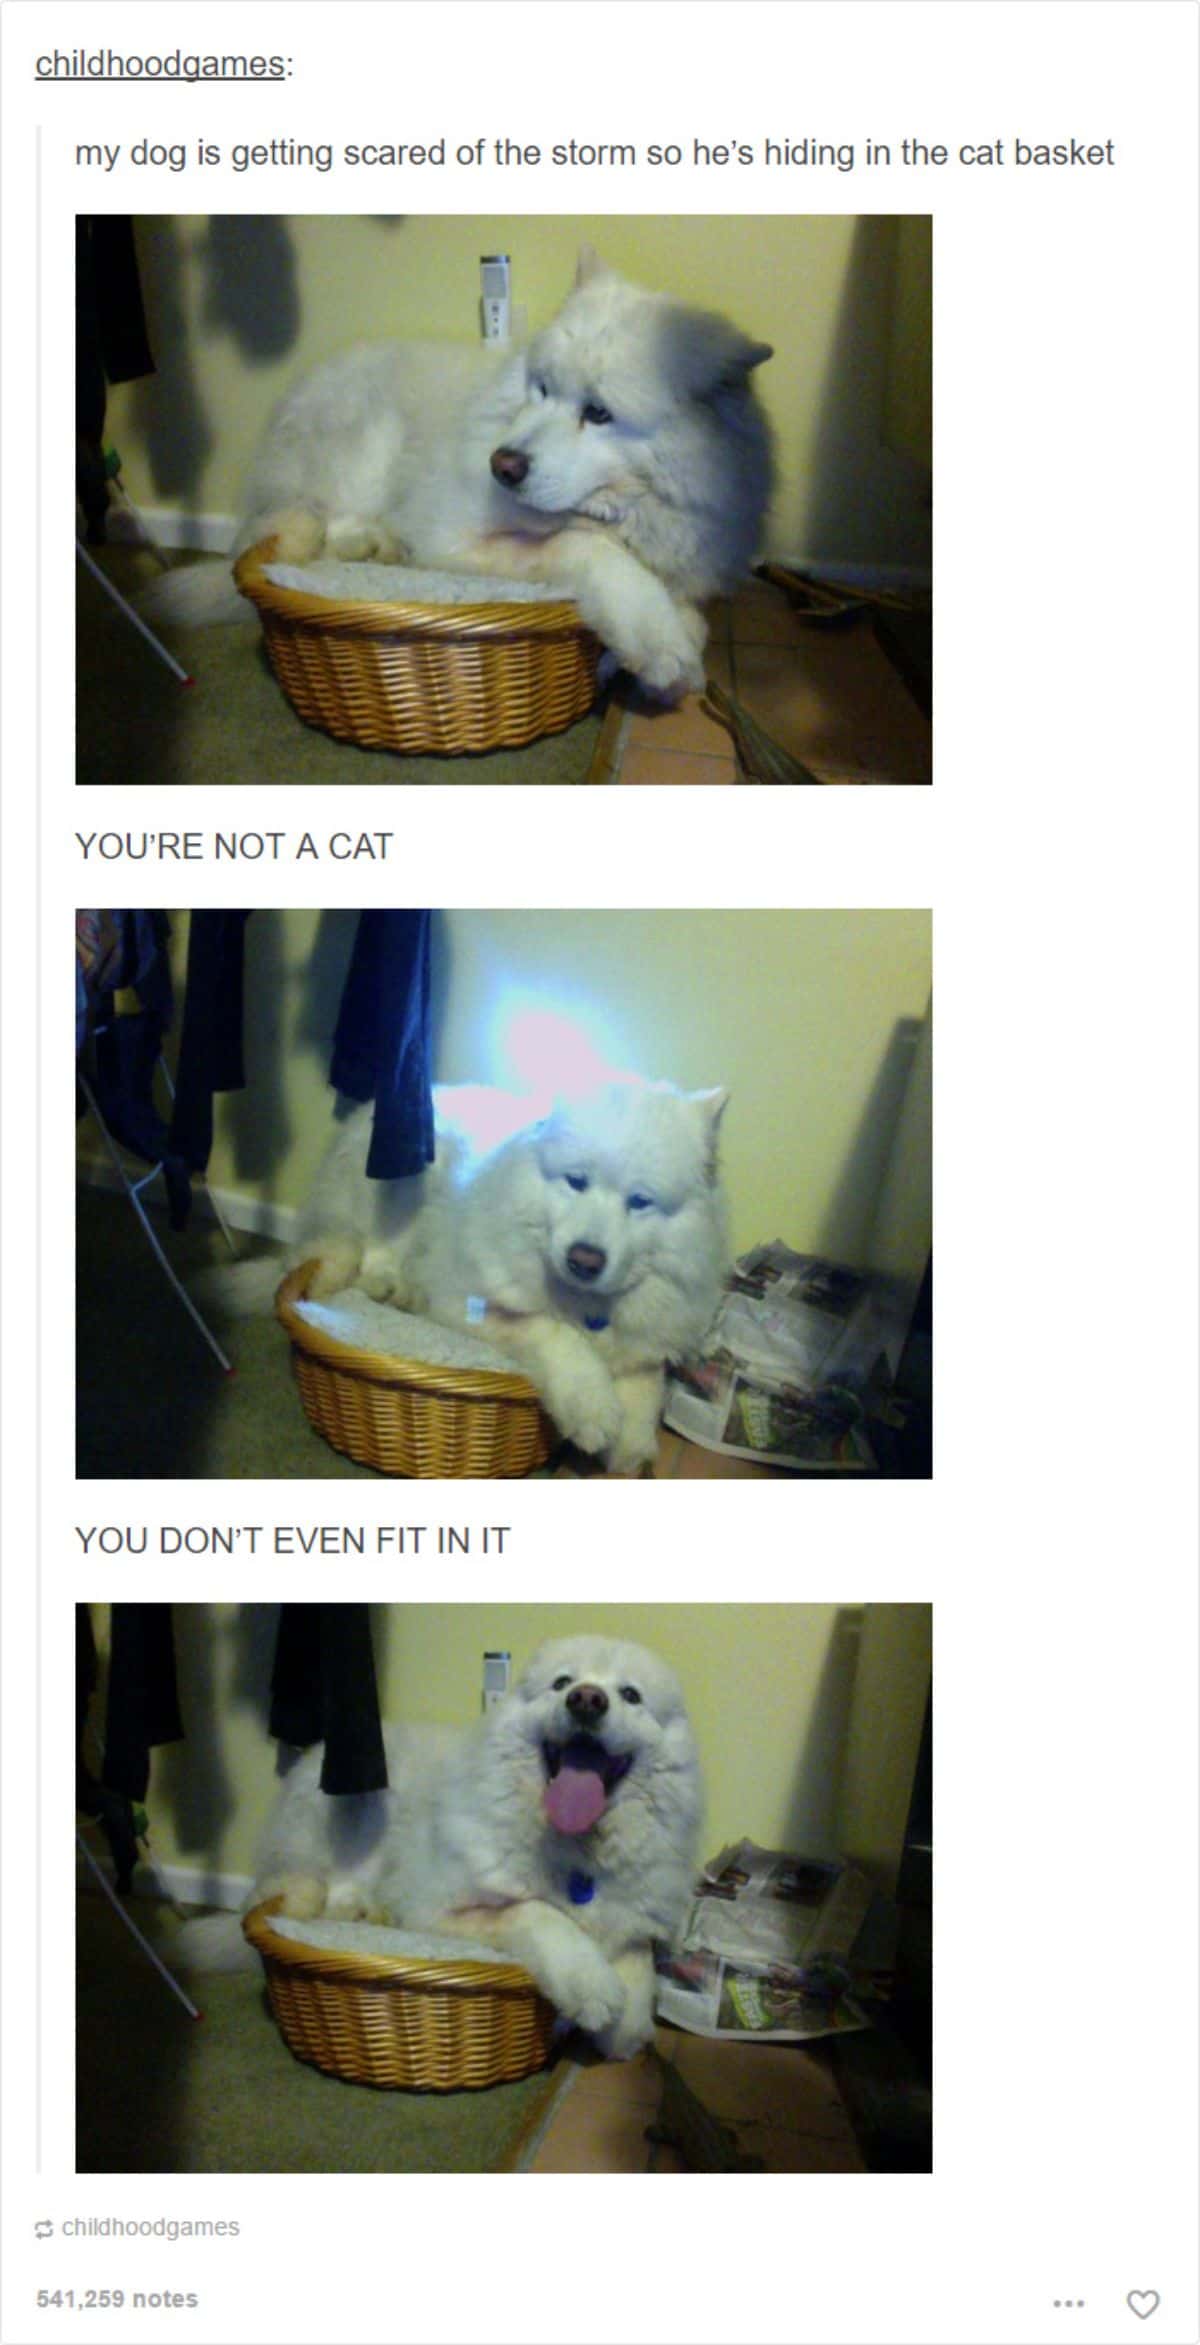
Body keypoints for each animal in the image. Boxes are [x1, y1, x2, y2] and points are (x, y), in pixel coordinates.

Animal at [154, 255, 773, 698]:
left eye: (598, 413)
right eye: (541, 388)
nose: (503, 466)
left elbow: (686, 606)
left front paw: (664, 643)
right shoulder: (456, 540)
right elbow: (589, 550)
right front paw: (657, 640)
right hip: (361, 453)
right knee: (312, 532)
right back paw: (376, 545)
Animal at [191, 1641, 698, 2063]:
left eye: (631, 1695)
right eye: (561, 1683)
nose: (586, 1700)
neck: (577, 1844)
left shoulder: (628, 1915)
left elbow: (638, 1958)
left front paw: (627, 2028)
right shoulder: (438, 1911)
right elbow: (537, 1912)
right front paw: (590, 1985)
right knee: (289, 1892)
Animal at [298, 1074, 731, 1463]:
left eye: (640, 1201)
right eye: (576, 1181)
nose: (584, 1259)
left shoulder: (646, 1339)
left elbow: (647, 1380)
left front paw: (632, 1443)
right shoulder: (469, 1306)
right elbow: (556, 1335)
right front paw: (592, 1409)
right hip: (402, 1186)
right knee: (373, 1253)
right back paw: (391, 1287)